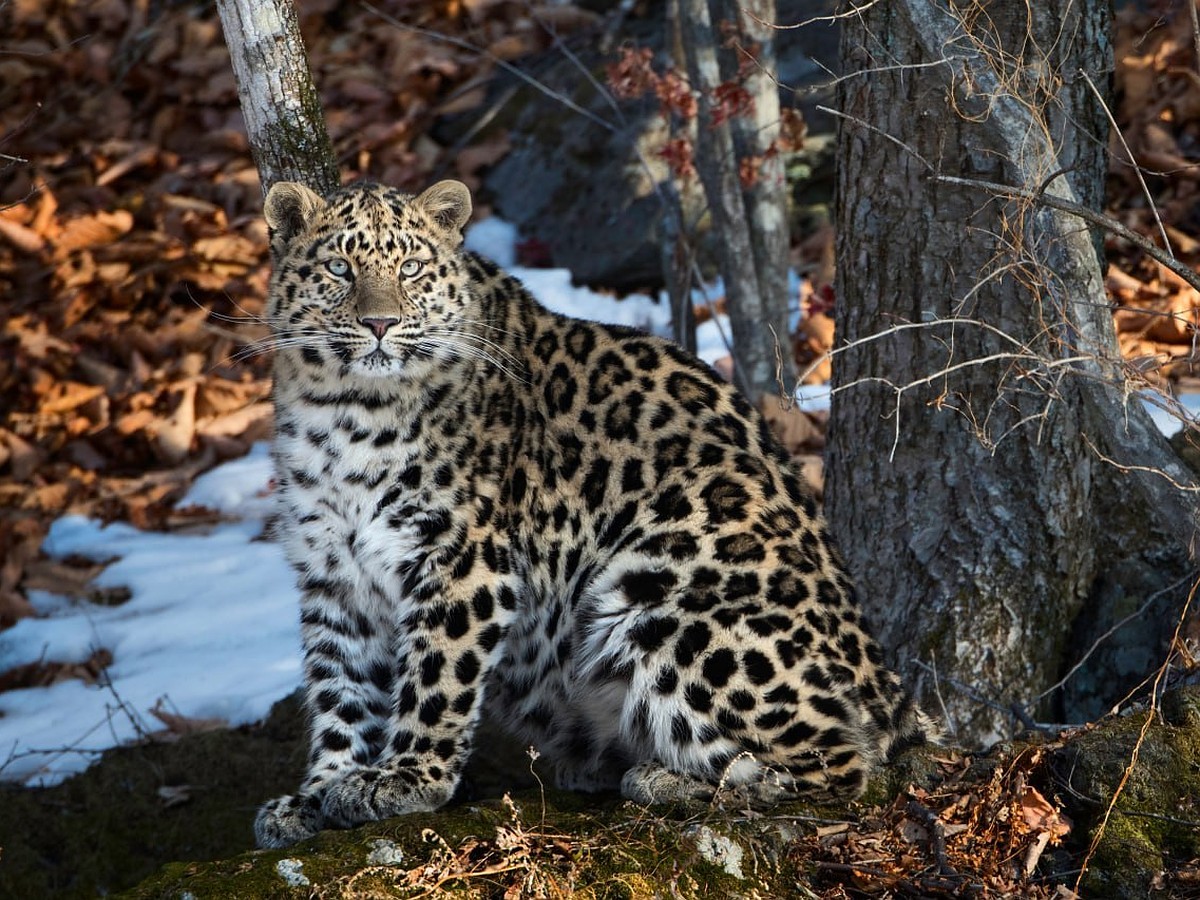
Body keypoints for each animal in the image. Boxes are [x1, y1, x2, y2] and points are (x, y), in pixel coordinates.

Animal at [250, 177, 926, 854]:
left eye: (410, 269)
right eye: (340, 269)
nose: (379, 323)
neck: (343, 409)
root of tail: (884, 684)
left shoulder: (463, 559)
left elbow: (435, 679)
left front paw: (406, 779)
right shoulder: (333, 574)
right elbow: (341, 690)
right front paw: (317, 794)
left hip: (660, 594)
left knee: (839, 766)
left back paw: (666, 779)